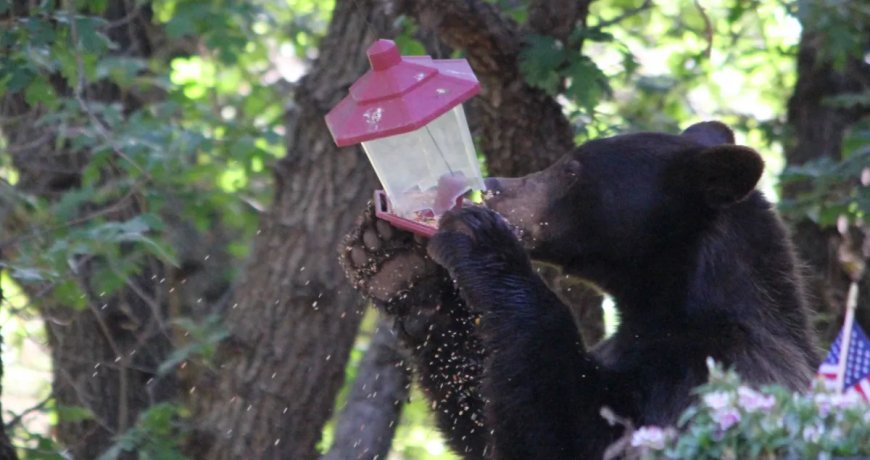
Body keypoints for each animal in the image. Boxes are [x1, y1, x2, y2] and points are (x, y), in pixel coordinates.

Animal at [340, 121, 819, 460]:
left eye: (570, 169)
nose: (492, 187)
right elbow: (483, 412)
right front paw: (394, 264)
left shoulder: (714, 372)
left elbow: (572, 434)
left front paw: (480, 238)